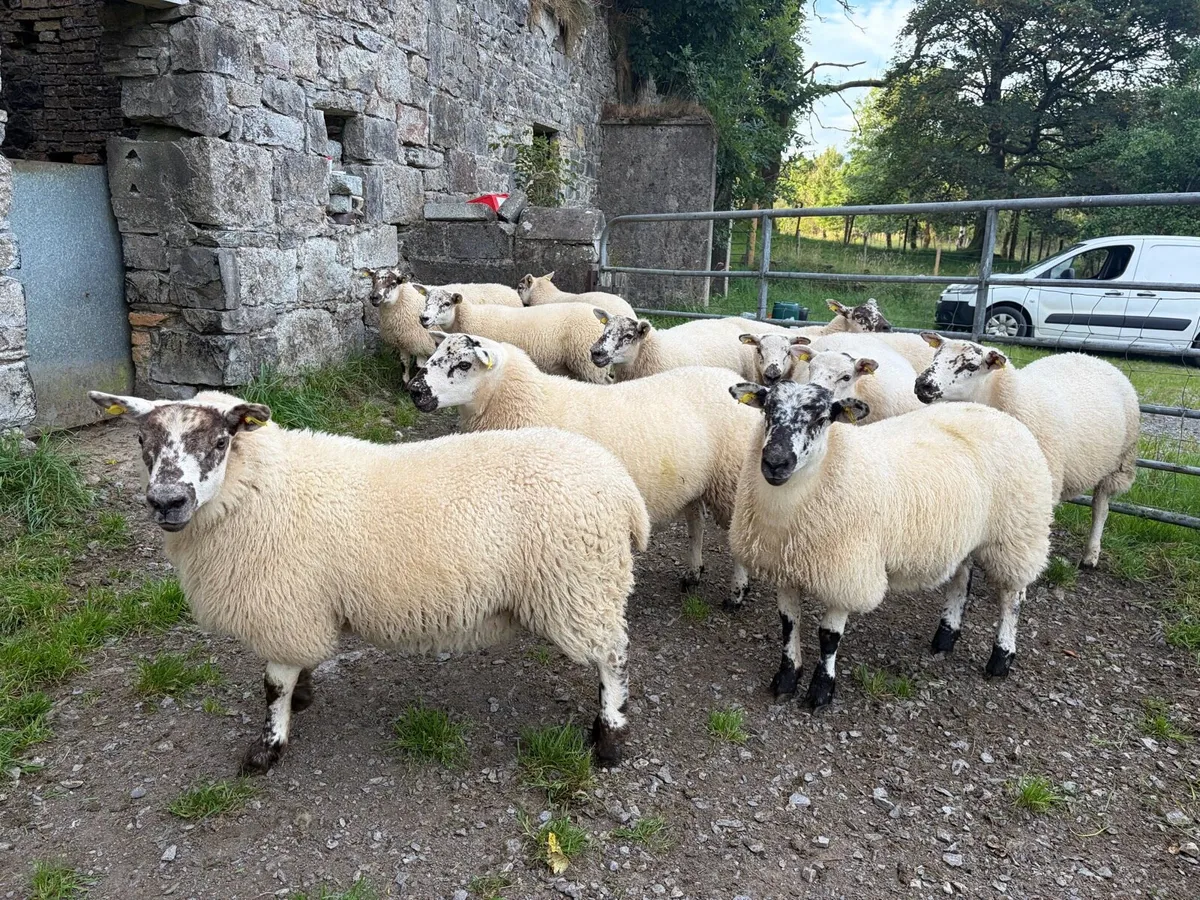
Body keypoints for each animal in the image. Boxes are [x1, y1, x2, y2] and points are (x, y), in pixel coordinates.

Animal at [88, 388, 650, 773]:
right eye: (141, 440)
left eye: (222, 441)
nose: (167, 502)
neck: (262, 489)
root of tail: (622, 486)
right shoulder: (297, 612)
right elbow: (292, 671)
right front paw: (303, 696)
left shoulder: (283, 606)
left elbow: (272, 685)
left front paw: (269, 747)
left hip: (581, 586)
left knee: (613, 659)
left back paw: (609, 738)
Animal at [367, 268, 521, 381]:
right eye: (372, 281)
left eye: (393, 283)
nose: (374, 297)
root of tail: (511, 290)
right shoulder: (403, 341)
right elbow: (404, 363)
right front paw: (405, 384)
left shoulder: (421, 344)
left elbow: (419, 366)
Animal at [409, 332, 759, 608]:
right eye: (437, 354)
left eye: (464, 365)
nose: (415, 389)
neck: (533, 401)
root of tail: (729, 380)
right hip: (697, 481)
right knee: (696, 524)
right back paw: (692, 573)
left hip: (730, 477)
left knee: (734, 536)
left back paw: (737, 592)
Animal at [727, 380, 1053, 708]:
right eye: (767, 410)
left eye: (821, 419)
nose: (775, 462)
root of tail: (999, 415)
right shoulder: (784, 567)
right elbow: (789, 622)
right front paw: (786, 678)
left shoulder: (847, 575)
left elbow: (828, 636)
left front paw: (821, 690)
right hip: (964, 533)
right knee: (961, 579)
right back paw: (945, 637)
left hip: (1017, 535)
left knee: (1012, 598)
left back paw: (1001, 658)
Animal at [913, 335, 1140, 568]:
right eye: (935, 355)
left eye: (971, 366)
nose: (922, 384)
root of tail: (1093, 357)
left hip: (1119, 462)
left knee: (1100, 508)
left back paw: (1090, 554)